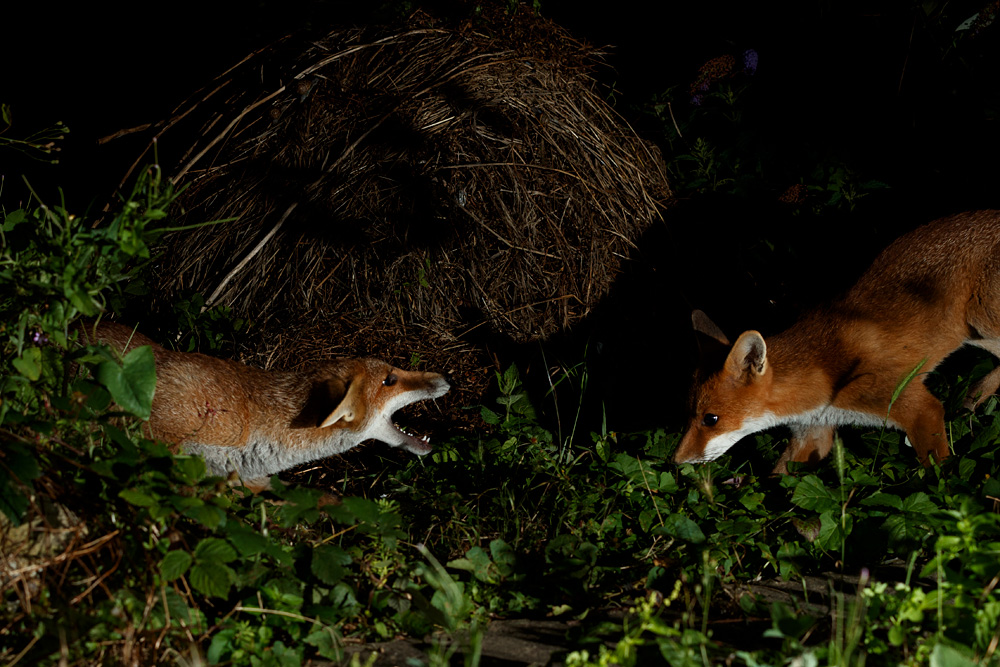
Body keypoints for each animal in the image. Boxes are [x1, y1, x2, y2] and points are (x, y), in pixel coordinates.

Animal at [673, 210, 1000, 474]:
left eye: (711, 419)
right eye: (688, 414)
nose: (675, 461)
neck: (823, 372)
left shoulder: (915, 406)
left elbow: (938, 472)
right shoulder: (813, 431)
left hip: (981, 320)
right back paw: (974, 397)